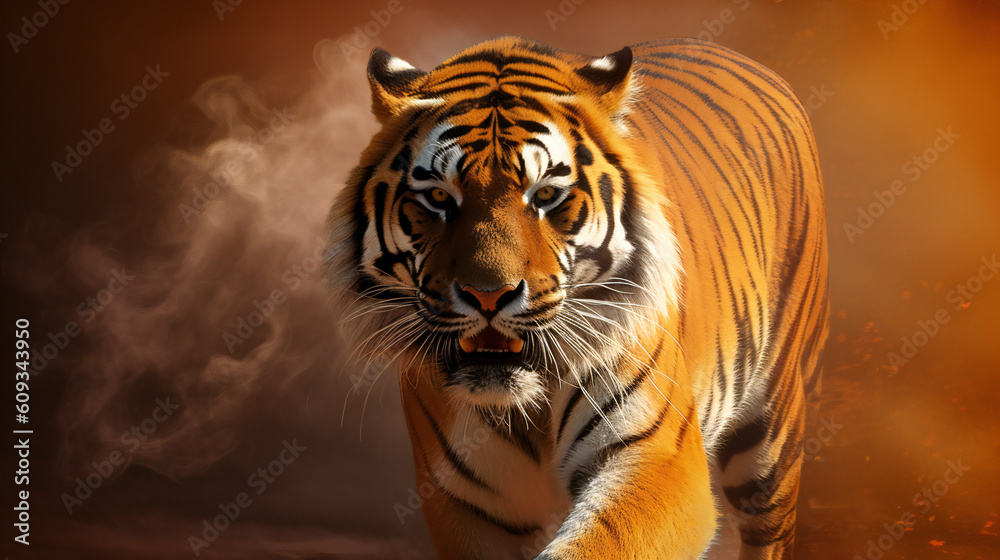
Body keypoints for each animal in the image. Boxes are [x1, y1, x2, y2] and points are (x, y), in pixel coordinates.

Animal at [325, 35, 828, 560]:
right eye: (440, 198)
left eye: (545, 196)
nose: (488, 295)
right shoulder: (465, 500)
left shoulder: (656, 458)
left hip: (770, 429)